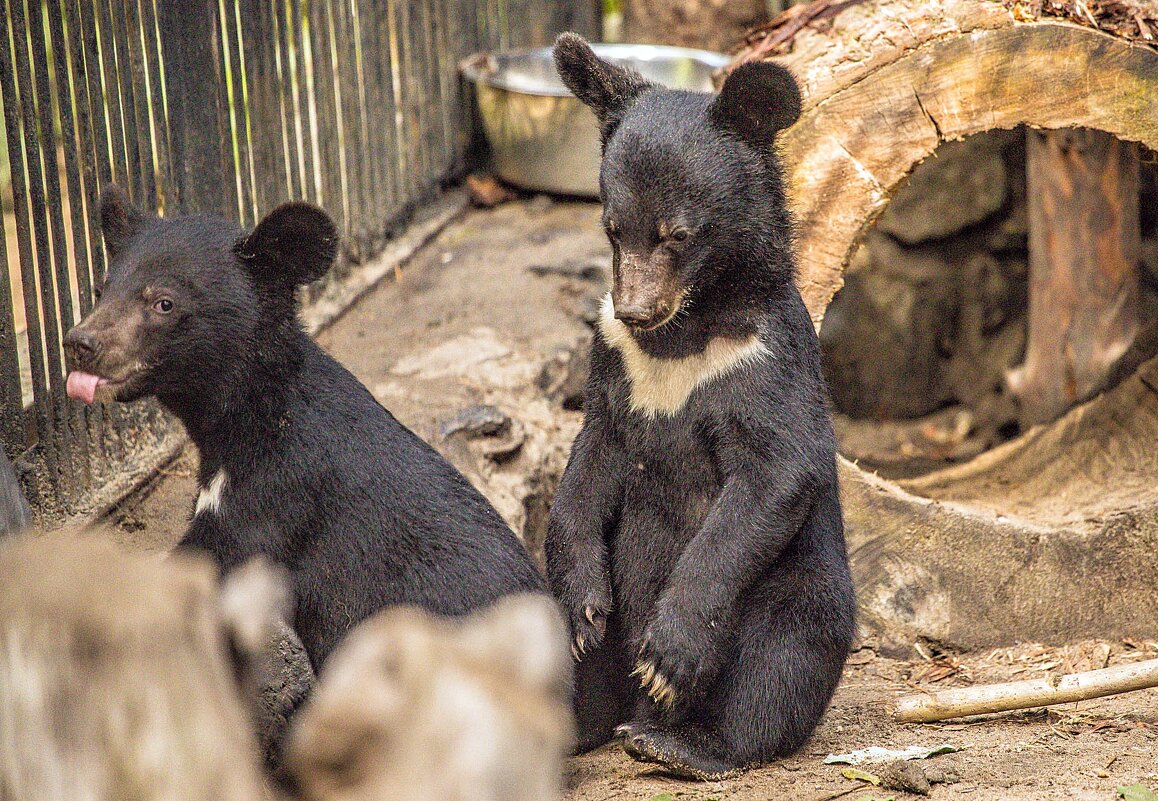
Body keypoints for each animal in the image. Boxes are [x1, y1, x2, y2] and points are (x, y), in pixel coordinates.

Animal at [63, 187, 546, 671]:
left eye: (163, 303)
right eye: (101, 289)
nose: (80, 343)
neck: (245, 418)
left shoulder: (275, 495)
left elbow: (209, 566)